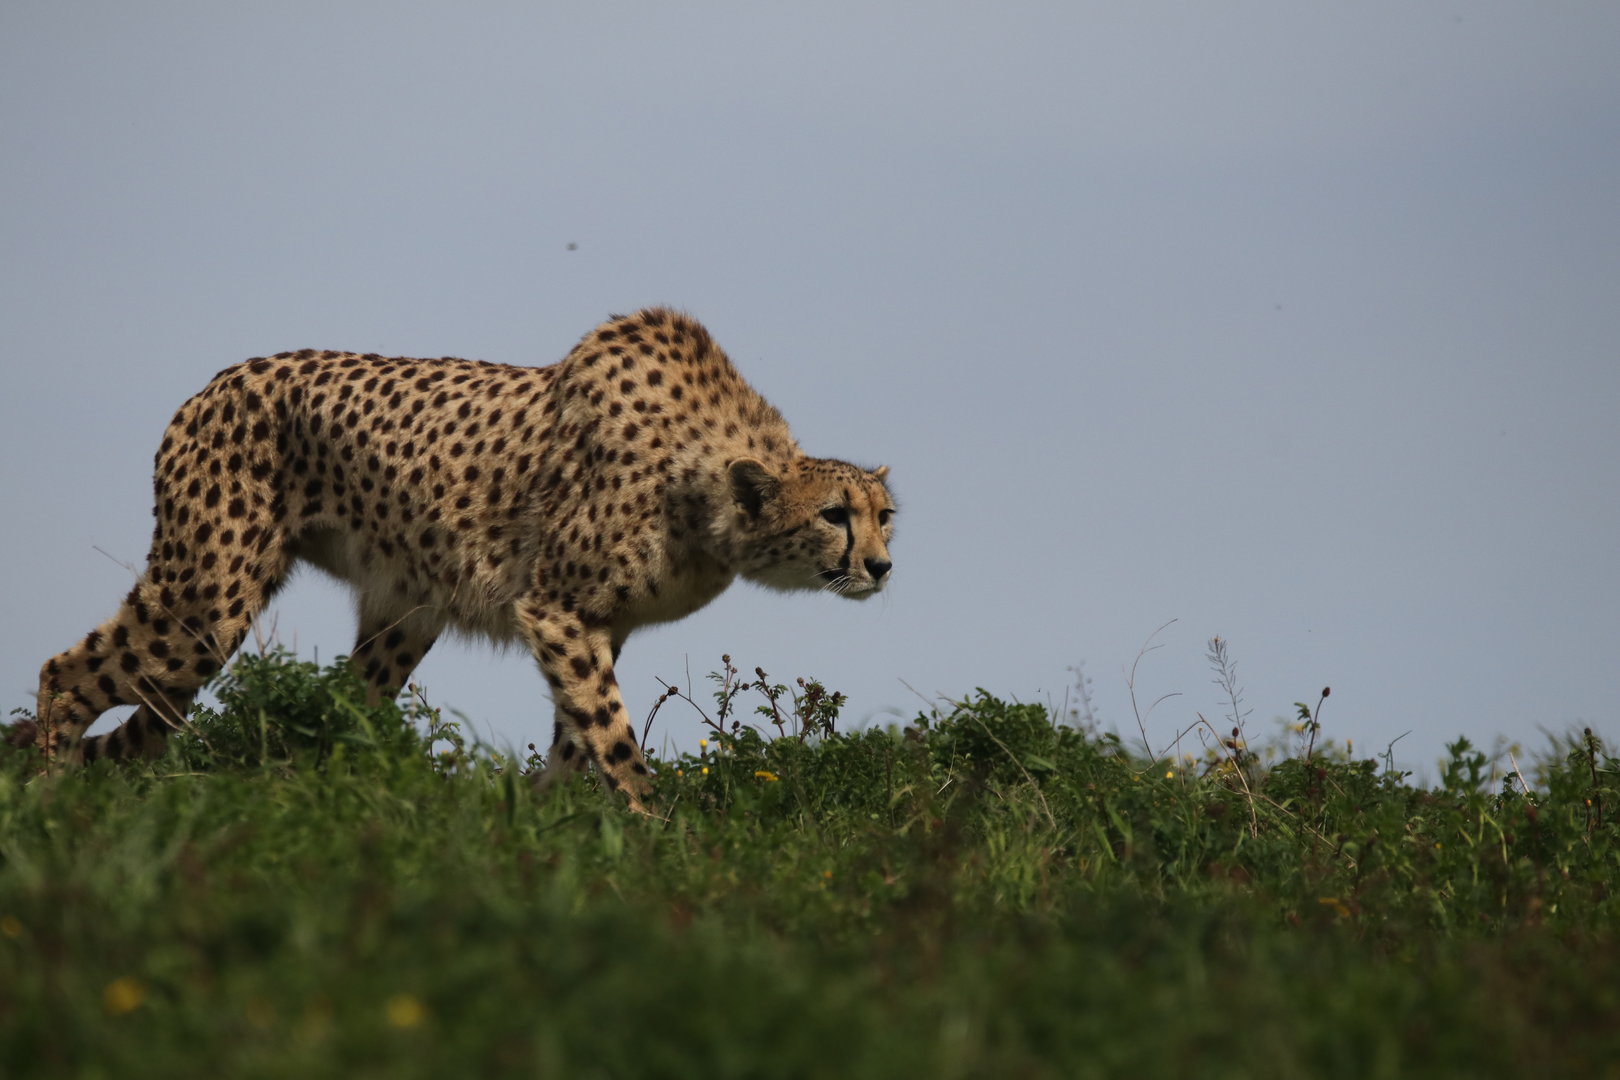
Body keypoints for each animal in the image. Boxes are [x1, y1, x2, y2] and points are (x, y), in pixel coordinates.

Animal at [33, 307, 895, 811]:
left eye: (885, 517)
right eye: (834, 516)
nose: (883, 567)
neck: (703, 494)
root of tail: (215, 383)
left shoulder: (595, 625)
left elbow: (578, 732)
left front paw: (549, 817)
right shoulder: (555, 608)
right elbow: (611, 732)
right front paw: (657, 831)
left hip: (401, 614)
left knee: (337, 705)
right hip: (207, 601)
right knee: (63, 672)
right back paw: (48, 804)